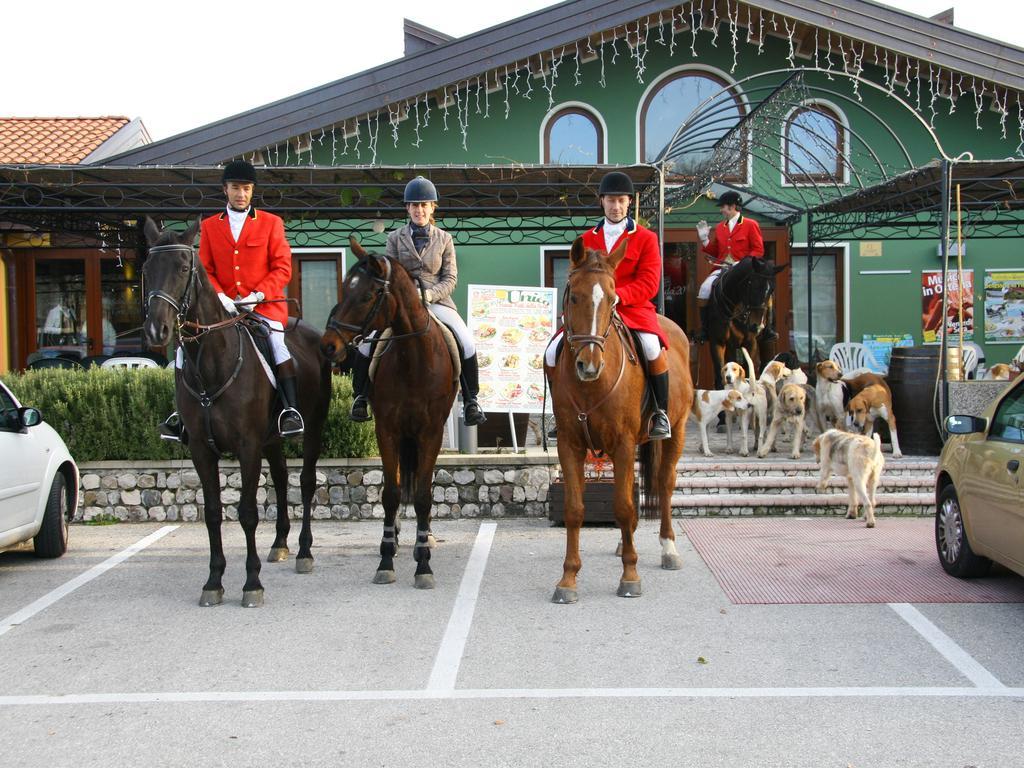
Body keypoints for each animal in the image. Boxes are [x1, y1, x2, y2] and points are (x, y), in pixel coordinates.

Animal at [140, 219, 329, 610]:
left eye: (183, 268)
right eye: (147, 269)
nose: (155, 330)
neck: (211, 364)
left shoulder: (247, 446)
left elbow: (247, 513)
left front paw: (251, 583)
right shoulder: (201, 448)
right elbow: (213, 513)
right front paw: (214, 581)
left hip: (312, 428)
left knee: (304, 482)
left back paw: (303, 551)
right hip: (271, 440)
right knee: (282, 478)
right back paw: (280, 544)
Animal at [315, 239, 452, 589]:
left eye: (366, 295)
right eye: (343, 289)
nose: (328, 346)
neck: (413, 360)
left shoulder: (431, 433)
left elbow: (423, 496)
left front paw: (424, 565)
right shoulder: (387, 430)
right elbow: (390, 494)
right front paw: (386, 559)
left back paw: (424, 538)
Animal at [544, 237, 696, 606]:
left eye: (613, 300)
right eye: (573, 296)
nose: (589, 365)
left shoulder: (623, 444)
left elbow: (624, 507)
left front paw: (630, 576)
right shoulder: (570, 445)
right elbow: (575, 509)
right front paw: (568, 579)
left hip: (675, 432)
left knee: (665, 484)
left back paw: (668, 548)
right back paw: (623, 542)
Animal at [704, 257, 782, 391]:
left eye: (771, 289)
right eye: (753, 284)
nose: (757, 326)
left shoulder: (750, 343)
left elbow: (747, 371)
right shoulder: (717, 342)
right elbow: (720, 375)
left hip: (766, 342)